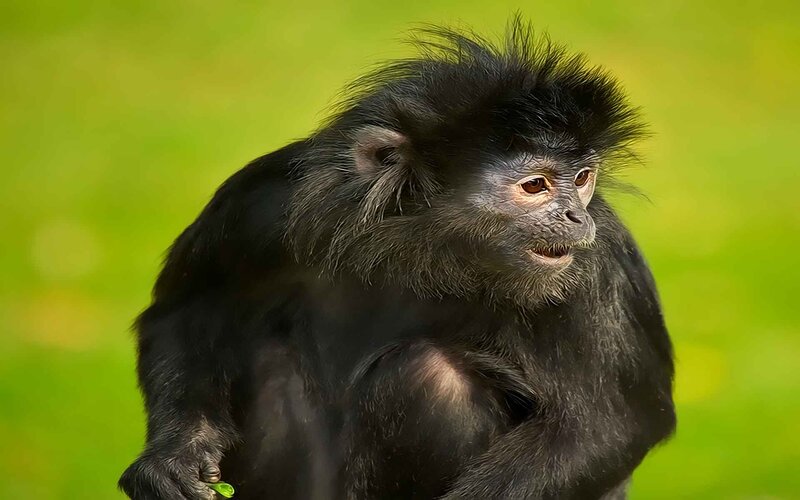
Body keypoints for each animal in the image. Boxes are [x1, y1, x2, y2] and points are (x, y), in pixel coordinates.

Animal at [119, 18, 675, 500]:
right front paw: (172, 458)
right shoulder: (263, 200)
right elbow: (183, 315)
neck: (424, 249)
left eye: (582, 178)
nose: (576, 216)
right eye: (535, 185)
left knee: (428, 378)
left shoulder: (599, 261)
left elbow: (604, 426)